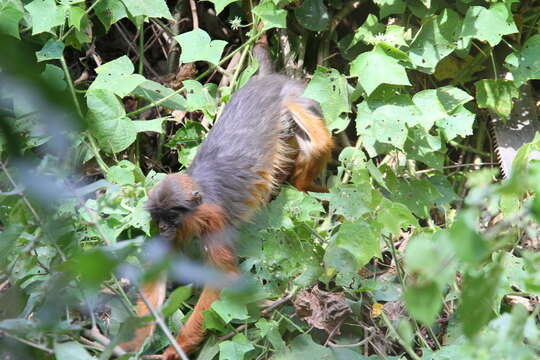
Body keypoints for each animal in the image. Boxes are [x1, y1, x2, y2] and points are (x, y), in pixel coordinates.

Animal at [119, 46, 334, 358]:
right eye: (159, 219)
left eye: (172, 217)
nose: (164, 228)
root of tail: (266, 80)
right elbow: (158, 274)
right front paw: (133, 342)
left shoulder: (214, 217)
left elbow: (225, 279)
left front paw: (176, 348)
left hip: (293, 97)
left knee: (317, 145)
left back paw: (307, 187)